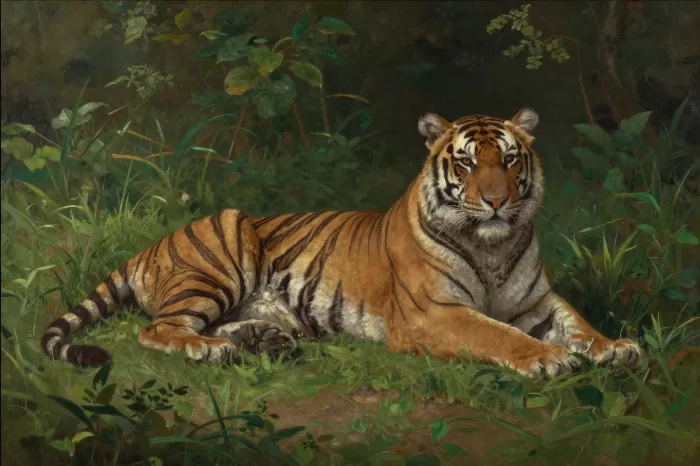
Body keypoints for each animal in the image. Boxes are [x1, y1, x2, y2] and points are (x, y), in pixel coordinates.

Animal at [41, 108, 644, 378]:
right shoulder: (437, 312)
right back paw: (213, 350)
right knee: (159, 329)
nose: (496, 200)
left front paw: (616, 347)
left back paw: (263, 340)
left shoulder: (537, 302)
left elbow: (577, 322)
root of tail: (147, 248)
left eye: (512, 159)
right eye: (469, 163)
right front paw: (549, 358)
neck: (491, 245)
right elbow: (495, 335)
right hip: (223, 250)